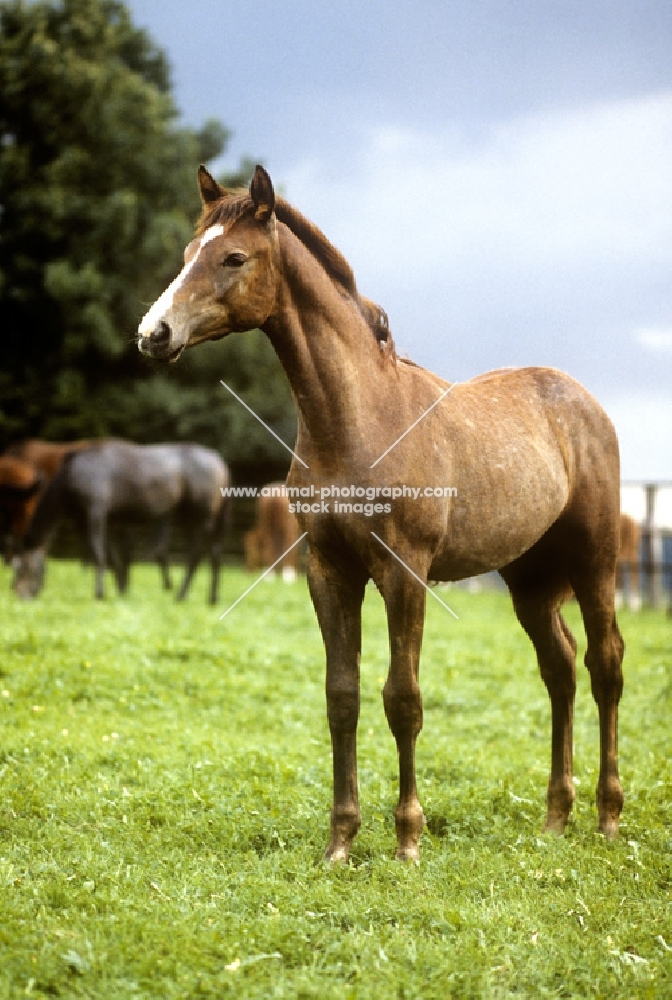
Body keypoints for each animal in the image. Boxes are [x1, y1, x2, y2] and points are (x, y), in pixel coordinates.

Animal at [15, 440, 230, 600]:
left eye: (25, 567)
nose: (19, 594)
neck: (74, 474)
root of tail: (218, 461)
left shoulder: (95, 516)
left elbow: (98, 553)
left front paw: (100, 593)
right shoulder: (104, 521)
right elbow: (113, 558)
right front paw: (120, 589)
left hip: (199, 519)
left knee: (196, 555)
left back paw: (181, 594)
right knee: (215, 554)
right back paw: (212, 598)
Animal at [136, 164, 624, 860]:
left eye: (234, 258)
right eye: (186, 255)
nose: (154, 334)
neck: (356, 420)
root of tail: (581, 400)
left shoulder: (404, 572)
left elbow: (404, 698)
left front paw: (407, 840)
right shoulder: (329, 570)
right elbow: (343, 695)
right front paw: (340, 841)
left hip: (594, 561)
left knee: (604, 664)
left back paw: (608, 817)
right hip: (529, 576)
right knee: (558, 669)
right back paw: (556, 817)